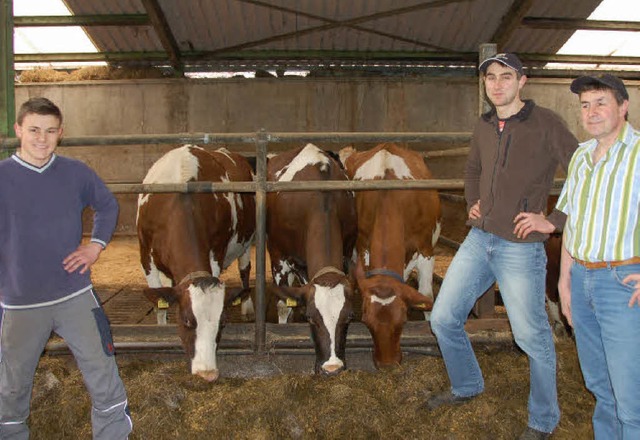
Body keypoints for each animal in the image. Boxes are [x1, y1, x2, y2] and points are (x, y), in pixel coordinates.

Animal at [136, 145, 254, 382]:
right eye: (187, 321)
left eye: (222, 322)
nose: (207, 374)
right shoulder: (146, 257)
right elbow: (159, 303)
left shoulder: (216, 251)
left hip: (248, 241)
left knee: (245, 271)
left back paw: (246, 304)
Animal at [264, 144, 356, 374]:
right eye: (311, 318)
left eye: (349, 317)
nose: (332, 368)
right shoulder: (280, 257)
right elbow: (283, 304)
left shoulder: (347, 253)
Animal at [342, 144, 442, 368]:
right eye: (366, 321)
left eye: (403, 320)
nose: (387, 364)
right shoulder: (363, 248)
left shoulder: (426, 251)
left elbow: (426, 295)